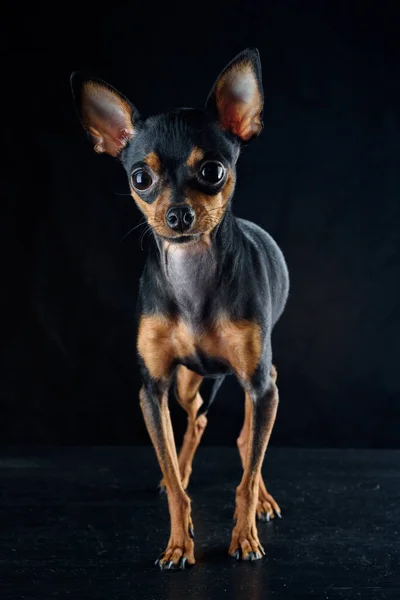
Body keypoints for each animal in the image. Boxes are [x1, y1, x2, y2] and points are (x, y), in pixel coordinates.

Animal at [71, 49, 288, 568]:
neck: (194, 282)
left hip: (257, 382)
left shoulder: (259, 383)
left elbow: (247, 474)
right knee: (196, 423)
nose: (178, 215)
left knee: (247, 440)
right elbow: (171, 475)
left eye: (212, 171)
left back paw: (263, 497)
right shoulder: (153, 390)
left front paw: (244, 536)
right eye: (141, 179)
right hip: (190, 383)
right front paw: (177, 542)